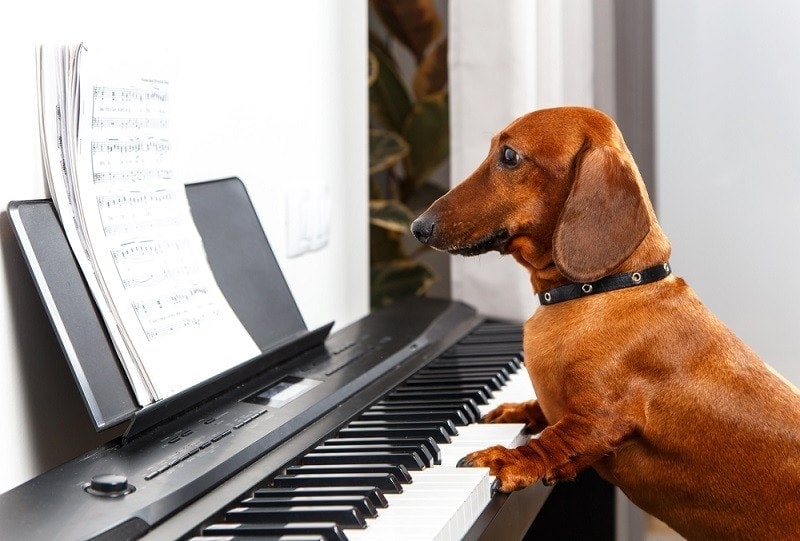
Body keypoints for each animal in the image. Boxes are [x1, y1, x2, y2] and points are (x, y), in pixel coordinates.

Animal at [412, 106, 800, 540]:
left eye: (509, 156)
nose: (417, 227)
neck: (598, 290)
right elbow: (542, 412)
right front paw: (512, 410)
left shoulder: (599, 419)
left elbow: (558, 439)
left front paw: (509, 459)